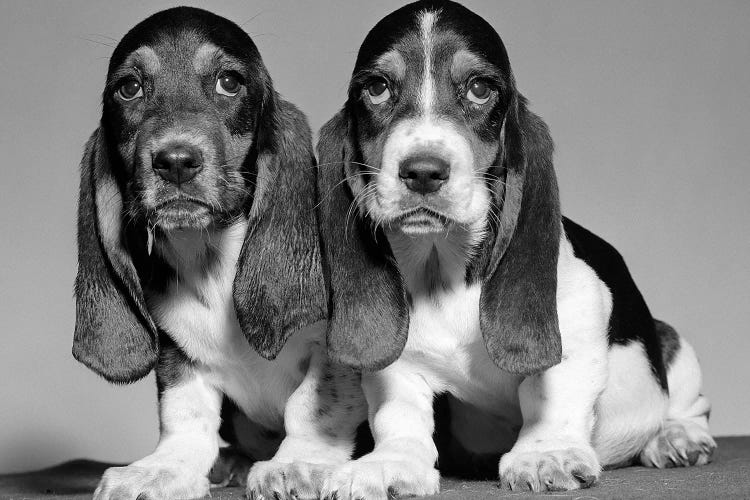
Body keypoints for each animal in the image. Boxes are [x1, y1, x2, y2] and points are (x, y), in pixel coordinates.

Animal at [75, 6, 368, 496]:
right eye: (129, 88)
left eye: (228, 82)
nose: (175, 162)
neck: (212, 261)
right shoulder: (180, 358)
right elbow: (185, 417)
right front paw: (164, 469)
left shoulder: (331, 351)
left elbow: (315, 403)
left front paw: (298, 463)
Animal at [314, 1, 720, 498]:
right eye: (376, 88)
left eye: (479, 88)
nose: (423, 171)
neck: (442, 269)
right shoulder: (398, 364)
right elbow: (400, 413)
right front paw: (391, 462)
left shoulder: (577, 314)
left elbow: (551, 393)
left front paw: (546, 453)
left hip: (673, 345)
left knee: (690, 405)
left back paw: (677, 438)